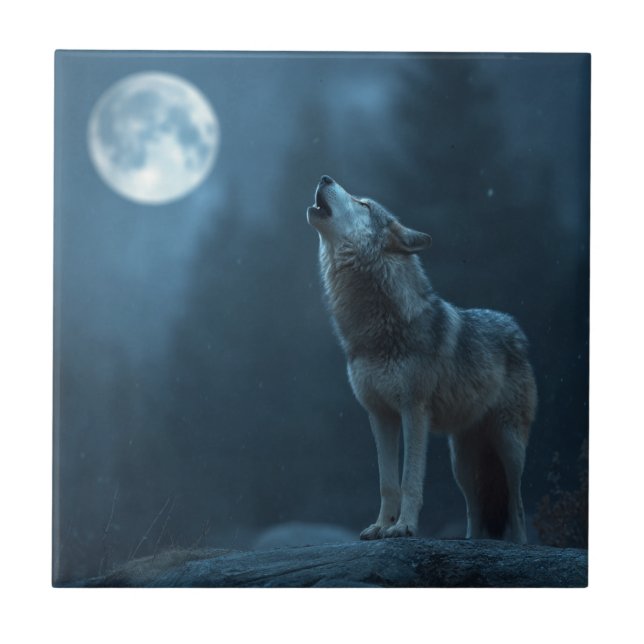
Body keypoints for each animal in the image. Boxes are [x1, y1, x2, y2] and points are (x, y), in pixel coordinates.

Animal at [307, 175, 537, 543]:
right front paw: (380, 526)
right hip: (463, 462)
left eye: (363, 204)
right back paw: (472, 542)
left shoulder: (414, 411)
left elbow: (409, 480)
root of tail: (515, 329)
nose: (325, 177)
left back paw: (518, 544)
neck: (377, 329)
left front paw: (403, 527)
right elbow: (387, 483)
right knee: (475, 508)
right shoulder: (380, 415)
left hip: (509, 446)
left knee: (516, 503)